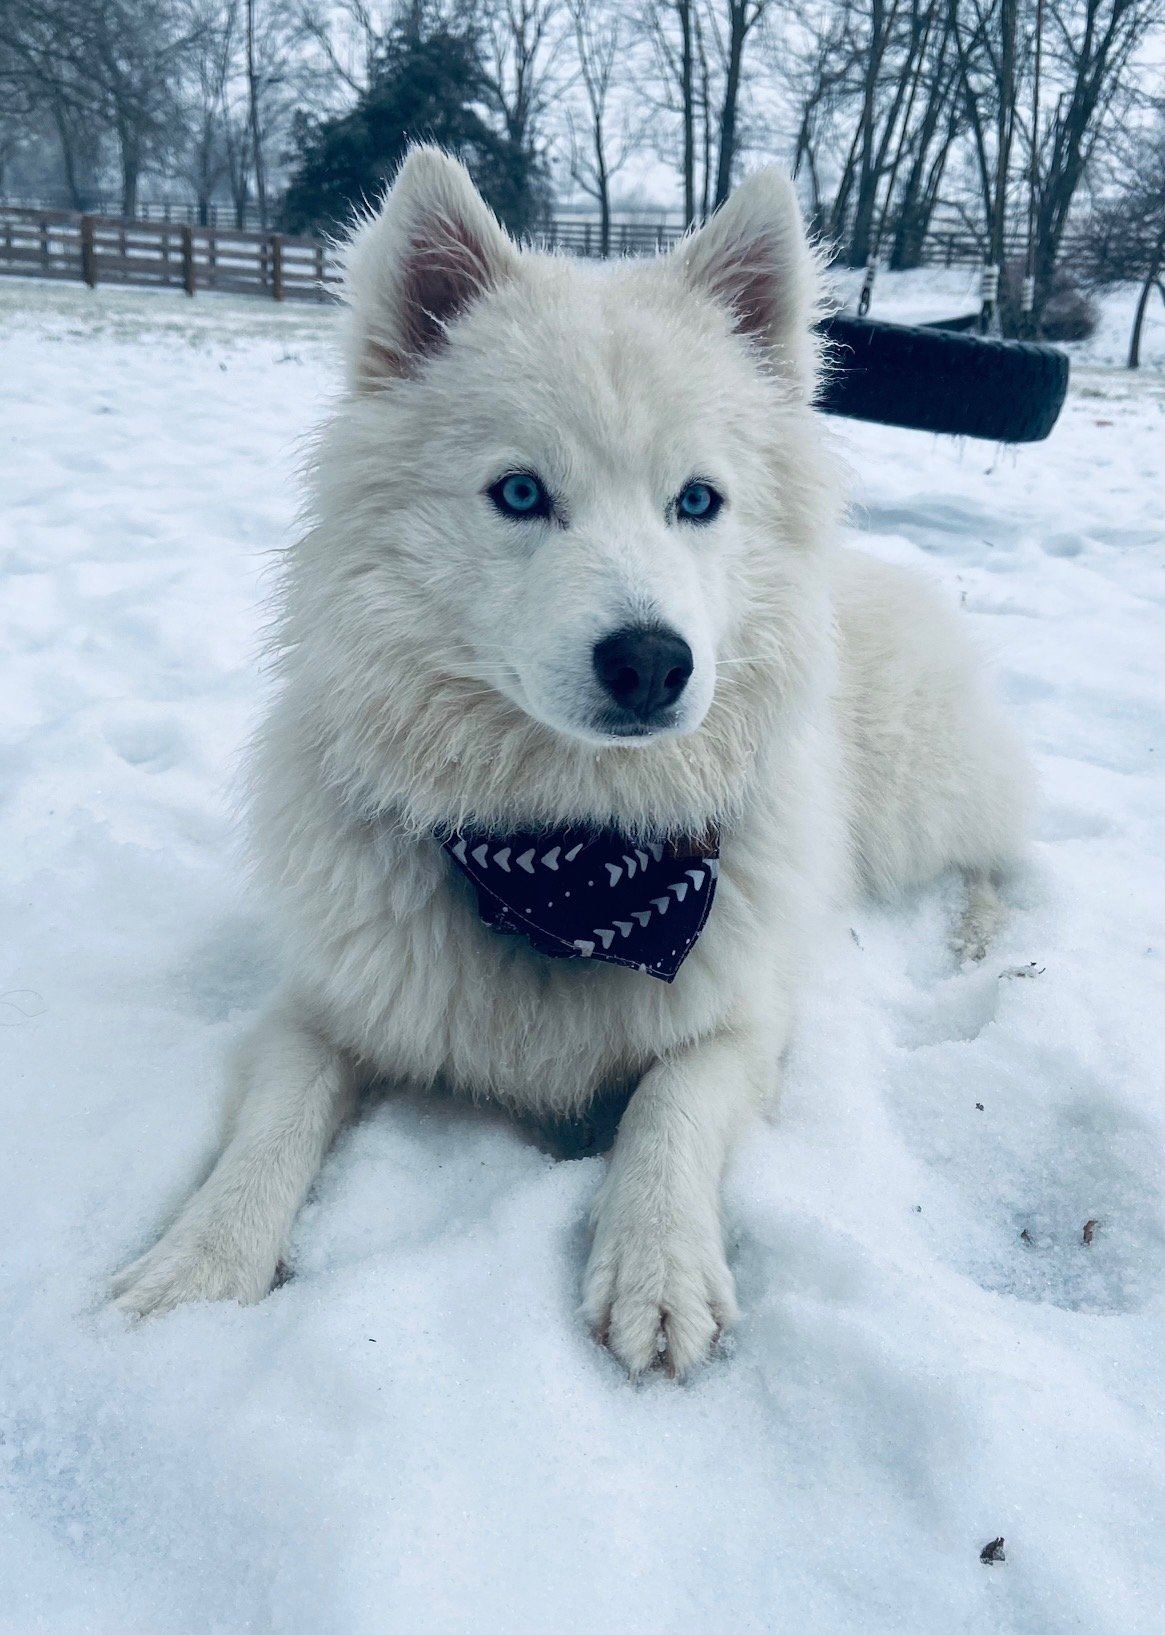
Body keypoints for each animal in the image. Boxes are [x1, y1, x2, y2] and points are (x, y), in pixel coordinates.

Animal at [107, 143, 1019, 1379]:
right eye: (521, 493)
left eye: (698, 500)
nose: (651, 662)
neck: (568, 857)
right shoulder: (319, 1008)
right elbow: (271, 1129)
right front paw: (197, 1267)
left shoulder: (739, 1022)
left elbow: (665, 1109)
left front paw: (657, 1269)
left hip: (921, 796)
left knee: (1005, 853)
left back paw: (974, 939)